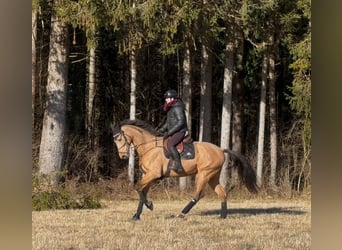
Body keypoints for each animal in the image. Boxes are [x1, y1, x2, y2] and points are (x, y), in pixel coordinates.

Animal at [111, 119, 258, 219]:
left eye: (119, 138)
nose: (123, 156)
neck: (148, 147)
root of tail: (221, 150)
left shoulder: (152, 174)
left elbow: (138, 188)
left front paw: (150, 205)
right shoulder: (147, 175)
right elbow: (142, 191)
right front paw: (137, 215)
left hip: (204, 174)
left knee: (199, 194)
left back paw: (182, 213)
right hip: (213, 176)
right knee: (222, 193)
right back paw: (222, 216)